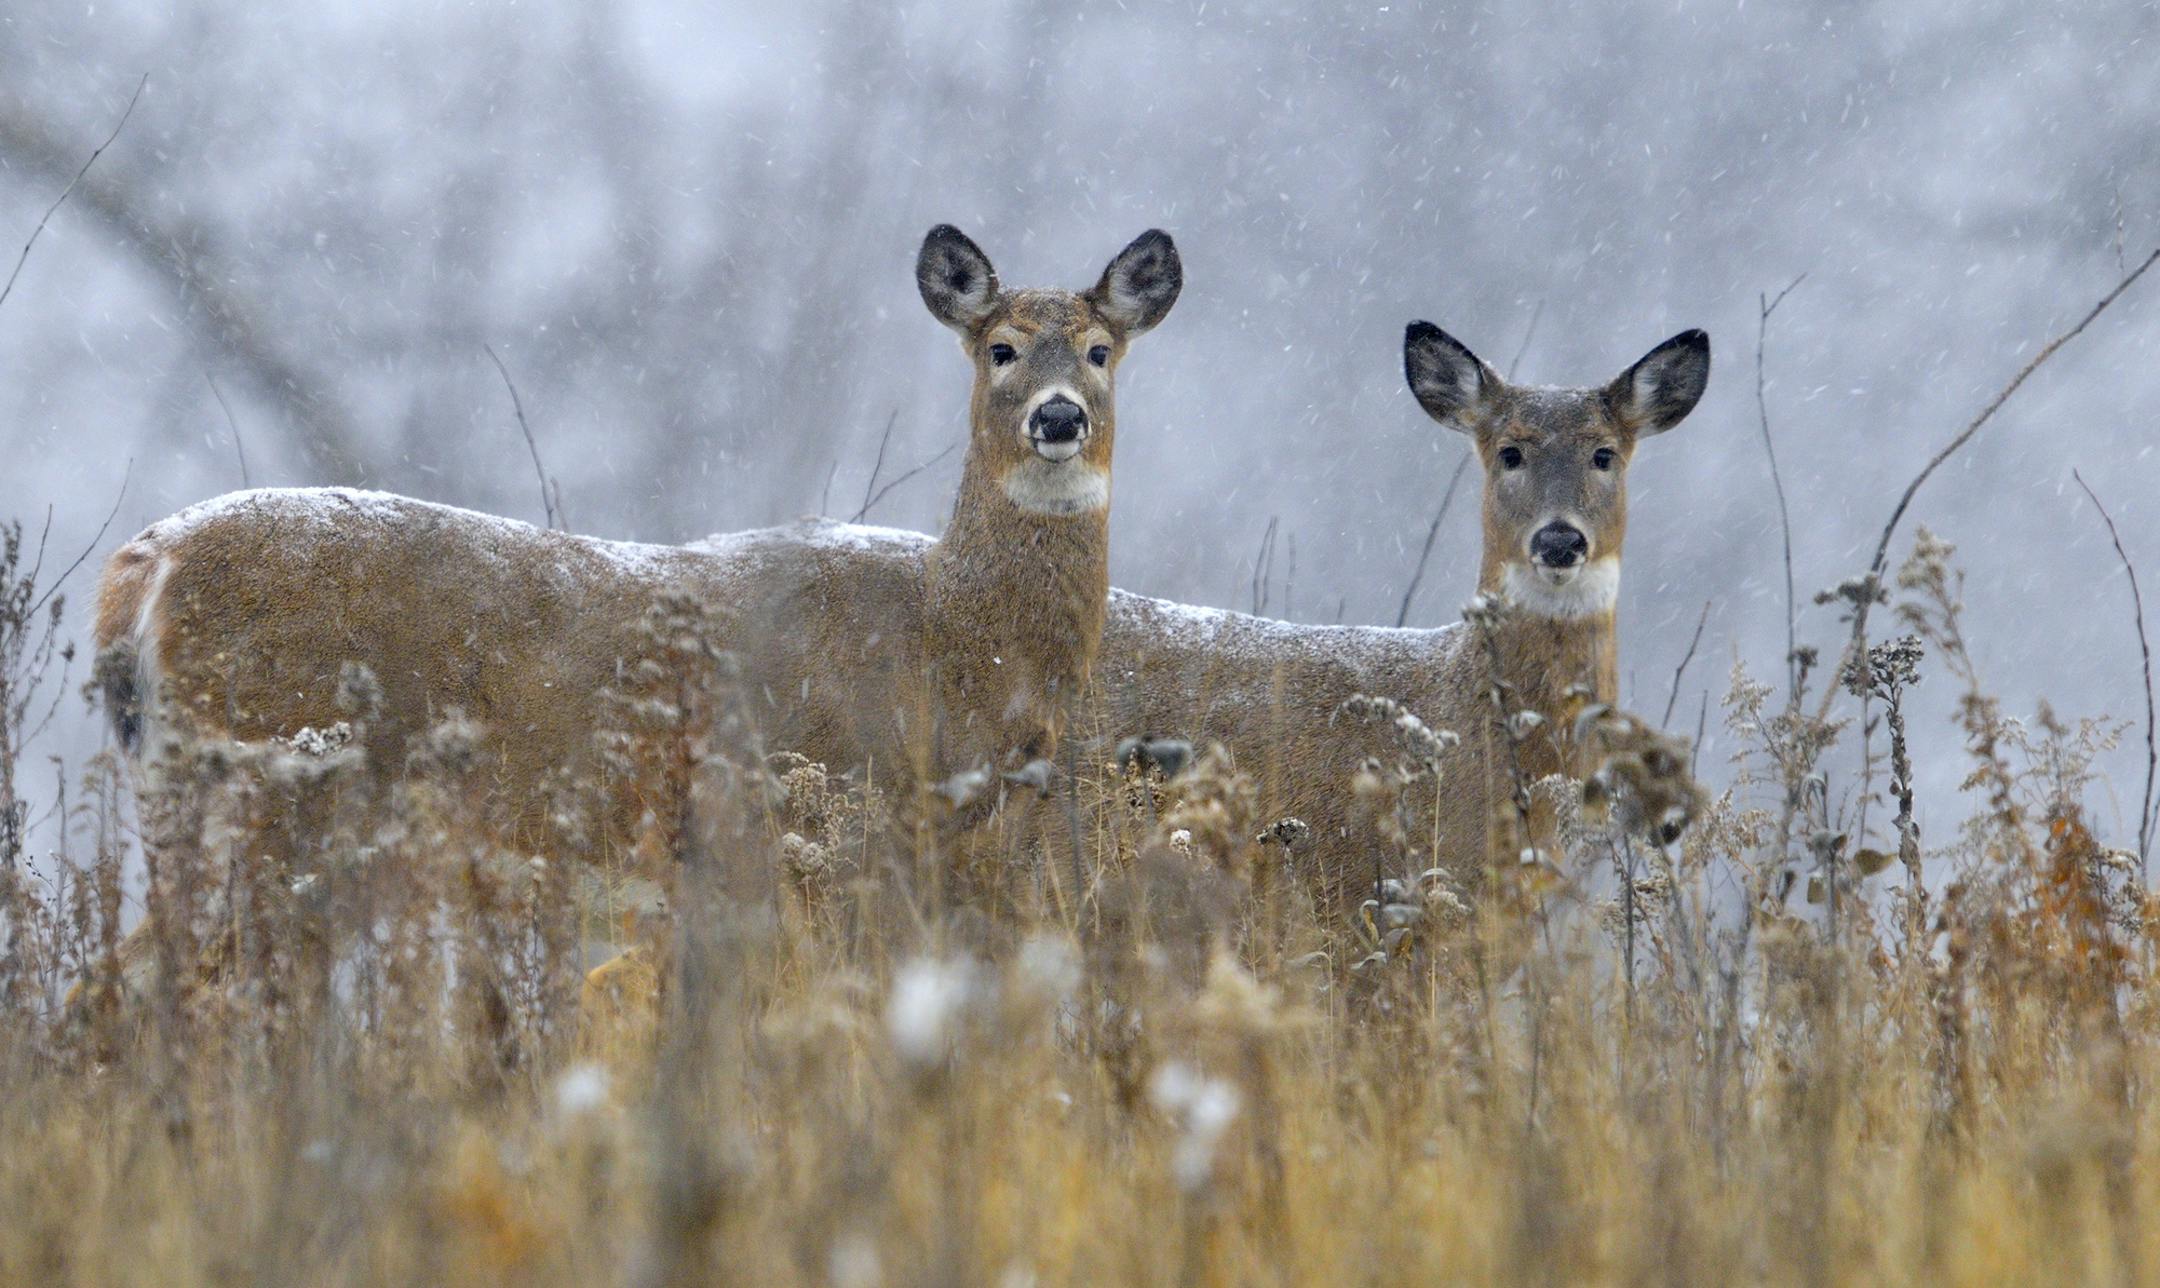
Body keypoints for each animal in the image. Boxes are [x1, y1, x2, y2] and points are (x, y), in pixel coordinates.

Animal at [88, 224, 1182, 1003]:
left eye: (1100, 351)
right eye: (999, 349)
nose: (1056, 417)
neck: (957, 651)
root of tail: (138, 571)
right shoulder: (826, 833)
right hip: (267, 788)